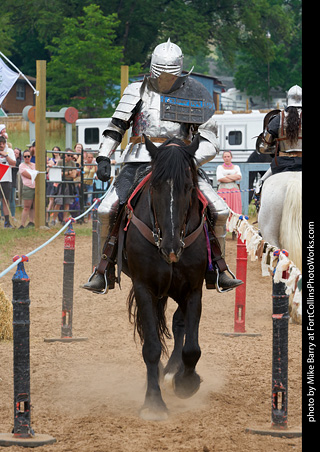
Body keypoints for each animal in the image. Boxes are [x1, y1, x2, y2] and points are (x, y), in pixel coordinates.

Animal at [124, 134, 211, 420]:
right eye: (155, 186)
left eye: (189, 186)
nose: (171, 249)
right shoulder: (144, 288)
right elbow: (151, 347)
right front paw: (153, 401)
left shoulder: (193, 290)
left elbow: (192, 347)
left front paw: (186, 382)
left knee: (179, 326)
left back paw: (174, 370)